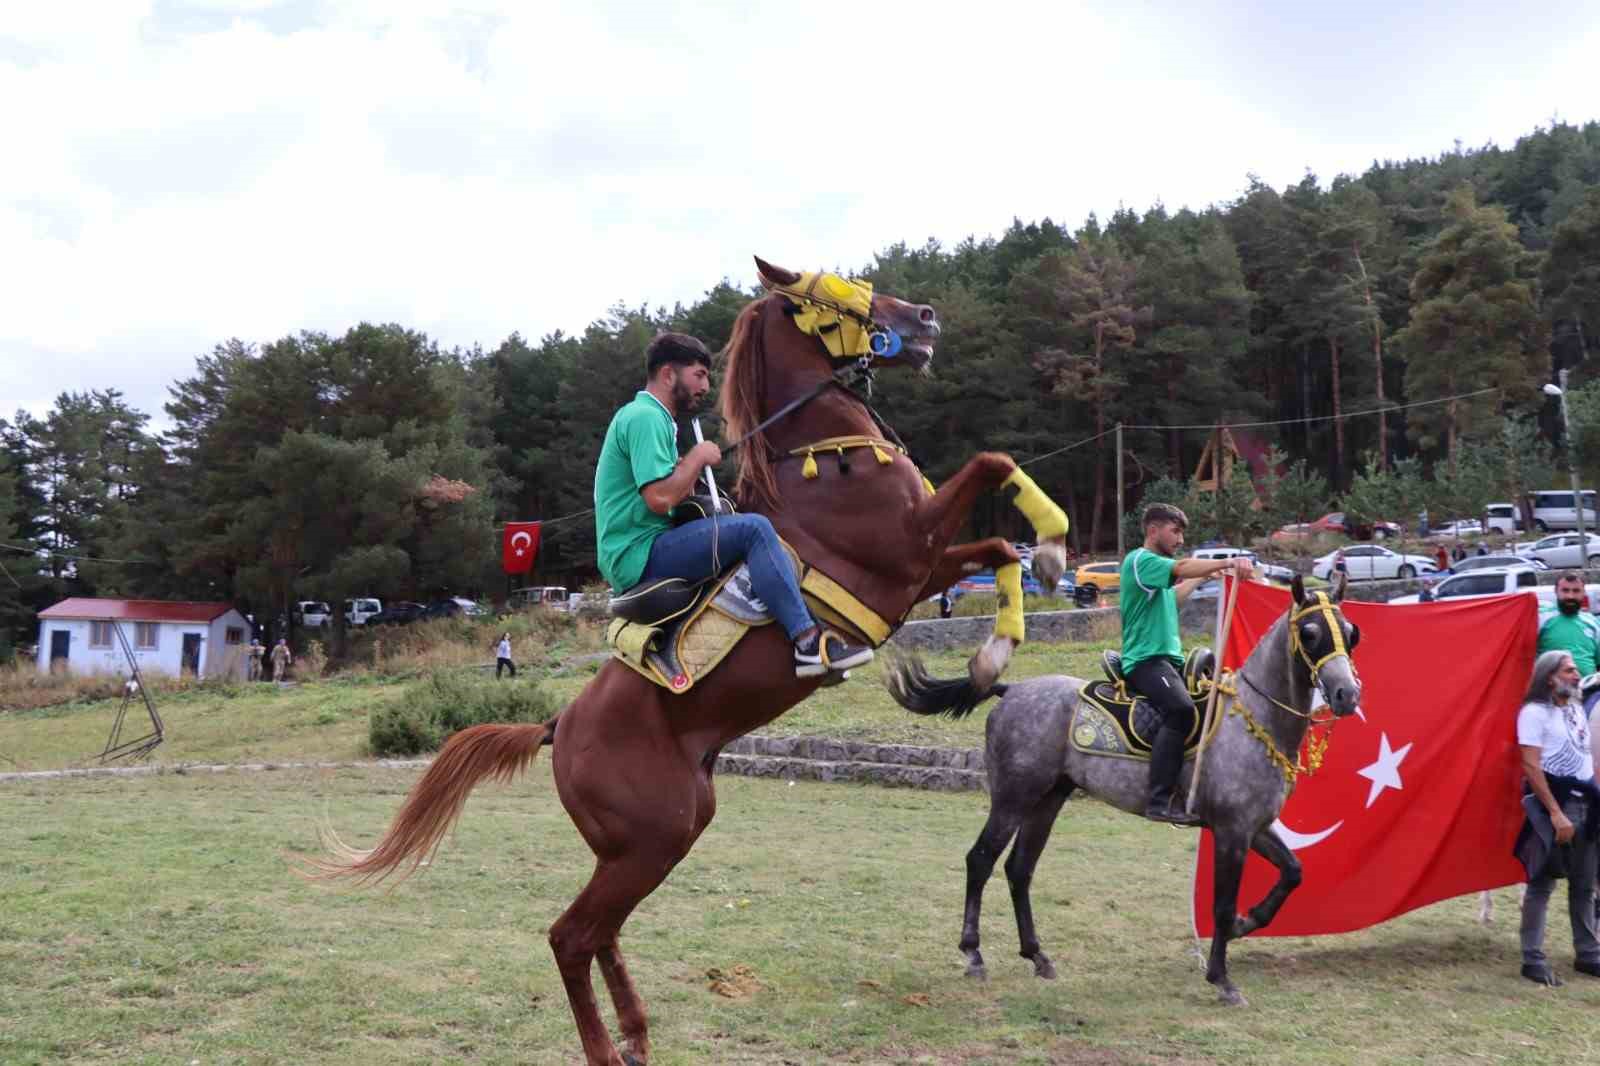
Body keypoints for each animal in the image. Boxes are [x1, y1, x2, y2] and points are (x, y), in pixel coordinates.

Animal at [310, 257, 1068, 1062]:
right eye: (835, 289)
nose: (925, 318)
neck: (821, 459)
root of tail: (557, 726)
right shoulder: (906, 553)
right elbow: (993, 465)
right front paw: (1051, 547)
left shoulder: (924, 570)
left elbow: (999, 546)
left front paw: (998, 644)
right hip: (655, 838)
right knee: (571, 936)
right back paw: (606, 1047)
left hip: (648, 841)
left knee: (599, 933)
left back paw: (636, 1035)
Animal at [889, 576, 1363, 998]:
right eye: (1311, 633)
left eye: (1351, 633)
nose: (1347, 694)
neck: (1250, 720)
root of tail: (1011, 690)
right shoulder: (1231, 830)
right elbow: (1223, 905)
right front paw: (1221, 978)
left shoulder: (1255, 827)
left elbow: (1292, 872)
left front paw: (1248, 923)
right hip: (1013, 798)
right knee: (981, 860)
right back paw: (973, 954)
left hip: (1047, 801)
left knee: (1019, 870)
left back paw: (1037, 956)